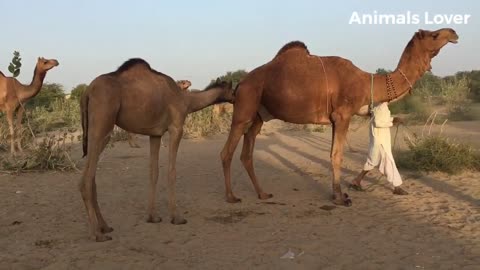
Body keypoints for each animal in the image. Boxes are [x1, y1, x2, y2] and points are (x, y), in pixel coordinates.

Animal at [80, 58, 234, 240]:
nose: (236, 97)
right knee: (87, 179)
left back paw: (105, 226)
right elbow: (171, 171)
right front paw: (177, 217)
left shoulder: (155, 134)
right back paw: (97, 233)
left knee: (91, 176)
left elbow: (154, 172)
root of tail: (87, 91)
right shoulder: (176, 128)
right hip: (102, 124)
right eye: (233, 89)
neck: (186, 101)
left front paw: (153, 217)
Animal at [220, 28, 458, 205]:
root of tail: (240, 84)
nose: (454, 33)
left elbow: (333, 154)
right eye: (434, 35)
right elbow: (337, 155)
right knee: (227, 152)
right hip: (245, 107)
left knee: (247, 153)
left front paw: (341, 192)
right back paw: (231, 197)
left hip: (258, 116)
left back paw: (262, 194)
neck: (367, 82)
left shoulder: (336, 119)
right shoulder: (343, 115)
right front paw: (340, 197)